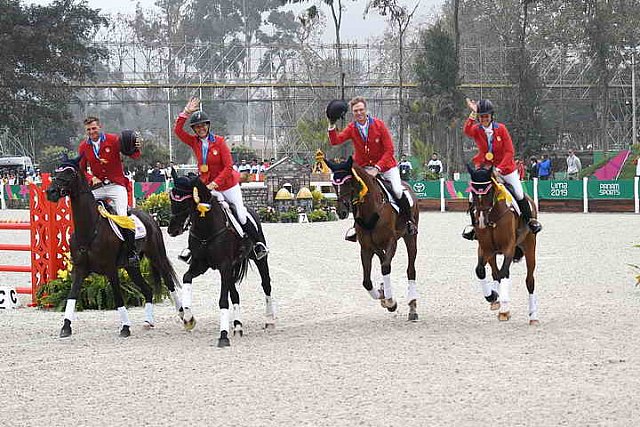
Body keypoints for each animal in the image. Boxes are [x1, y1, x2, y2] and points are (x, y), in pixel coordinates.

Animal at [45, 157, 181, 338]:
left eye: (70, 173)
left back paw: (184, 315)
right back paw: (148, 321)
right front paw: (66, 326)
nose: (51, 192)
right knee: (147, 290)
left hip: (156, 257)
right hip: (132, 267)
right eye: (56, 171)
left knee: (169, 282)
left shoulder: (110, 269)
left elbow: (118, 297)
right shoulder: (79, 270)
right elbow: (72, 296)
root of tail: (149, 217)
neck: (89, 230)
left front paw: (125, 327)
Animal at [166, 174, 274, 348]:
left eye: (185, 201)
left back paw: (269, 320)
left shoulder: (224, 266)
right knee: (235, 294)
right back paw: (237, 326)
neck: (206, 227)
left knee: (266, 284)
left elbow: (223, 301)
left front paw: (223, 336)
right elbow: (186, 278)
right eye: (172, 199)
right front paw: (189, 318)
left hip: (258, 260)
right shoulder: (201, 265)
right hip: (231, 268)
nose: (172, 230)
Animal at [324, 157, 420, 320]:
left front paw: (390, 302)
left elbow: (386, 267)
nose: (342, 212)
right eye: (333, 184)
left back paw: (412, 307)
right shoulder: (366, 248)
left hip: (410, 237)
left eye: (348, 182)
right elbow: (367, 282)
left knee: (410, 269)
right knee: (382, 260)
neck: (371, 209)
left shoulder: (391, 242)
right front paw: (384, 296)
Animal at [464, 164, 540, 324]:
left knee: (529, 280)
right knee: (495, 272)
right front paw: (492, 296)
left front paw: (504, 310)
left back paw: (533, 317)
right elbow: (480, 270)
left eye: (489, 191)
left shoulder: (508, 248)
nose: (481, 221)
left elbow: (504, 273)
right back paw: (496, 299)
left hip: (530, 246)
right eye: (473, 192)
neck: (493, 216)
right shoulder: (485, 248)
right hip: (493, 253)